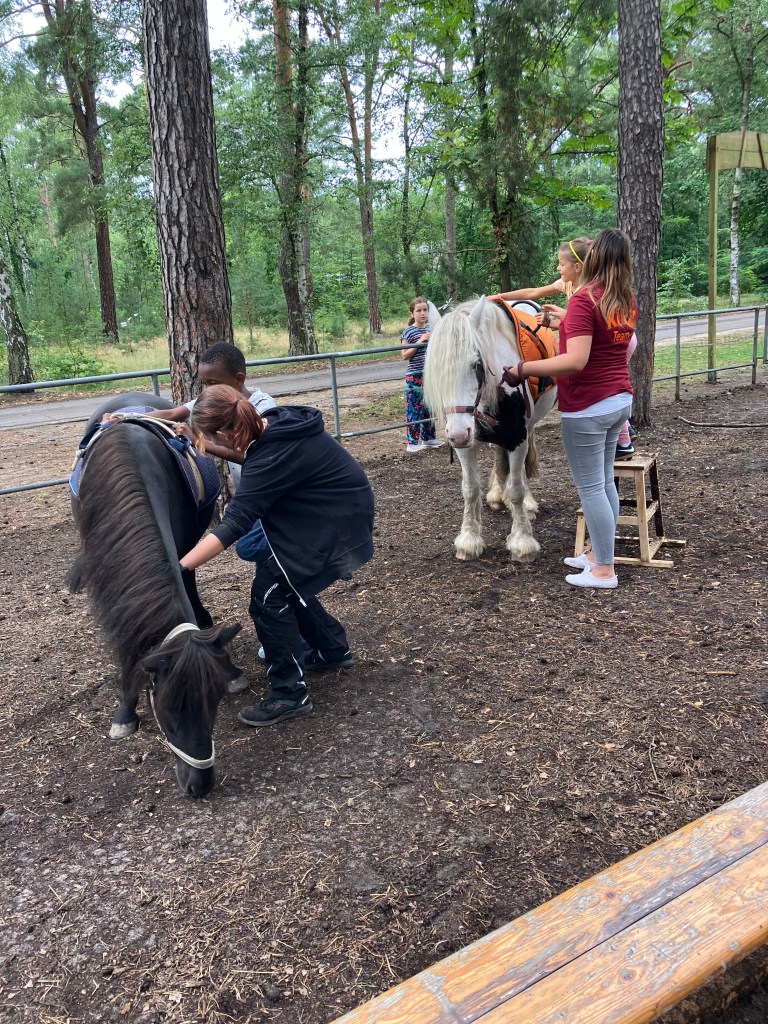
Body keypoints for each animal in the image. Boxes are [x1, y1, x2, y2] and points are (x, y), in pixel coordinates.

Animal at [424, 297, 558, 563]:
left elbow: (516, 489)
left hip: (528, 429)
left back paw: (527, 505)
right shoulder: (466, 444)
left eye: (476, 365)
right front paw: (469, 540)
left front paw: (522, 541)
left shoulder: (517, 438)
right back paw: (497, 495)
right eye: (436, 370)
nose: (457, 434)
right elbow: (470, 489)